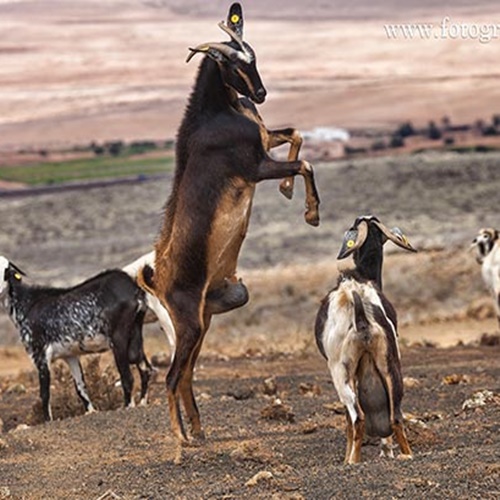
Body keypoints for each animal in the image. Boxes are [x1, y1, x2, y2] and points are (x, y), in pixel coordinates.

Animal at [0, 256, 152, 420]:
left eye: (4, 272)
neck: (26, 305)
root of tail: (133, 288)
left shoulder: (39, 354)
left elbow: (45, 394)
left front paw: (48, 420)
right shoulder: (70, 355)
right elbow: (80, 387)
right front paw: (91, 411)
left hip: (119, 339)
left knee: (128, 377)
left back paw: (128, 406)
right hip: (136, 332)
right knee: (145, 369)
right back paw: (142, 403)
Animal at [140, 0, 320, 454]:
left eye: (253, 57)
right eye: (232, 64)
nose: (259, 94)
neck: (217, 113)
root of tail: (156, 279)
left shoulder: (265, 143)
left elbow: (295, 134)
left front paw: (289, 192)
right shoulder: (255, 167)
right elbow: (305, 161)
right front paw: (310, 211)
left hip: (204, 320)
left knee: (186, 374)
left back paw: (199, 430)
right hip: (188, 324)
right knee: (171, 376)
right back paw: (181, 438)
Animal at [314, 217, 416, 462]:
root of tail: (361, 315)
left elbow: (347, 421)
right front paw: (386, 451)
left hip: (341, 371)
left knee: (357, 417)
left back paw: (352, 461)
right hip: (389, 364)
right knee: (395, 416)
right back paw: (406, 455)